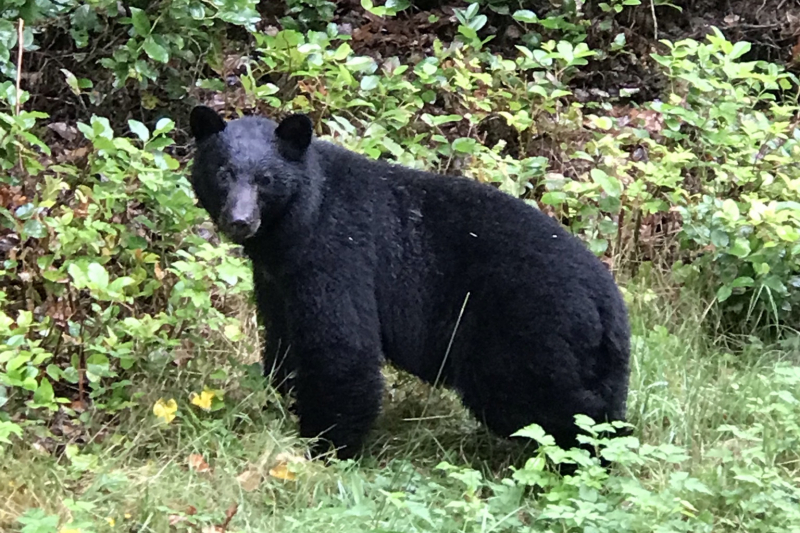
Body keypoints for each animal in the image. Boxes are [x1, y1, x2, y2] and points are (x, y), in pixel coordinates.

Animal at [188, 106, 632, 460]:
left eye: (264, 179)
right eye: (223, 174)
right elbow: (283, 339)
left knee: (553, 403)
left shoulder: (336, 256)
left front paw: (327, 446)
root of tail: (607, 302)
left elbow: (341, 346)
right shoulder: (276, 280)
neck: (292, 228)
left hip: (525, 331)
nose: (240, 221)